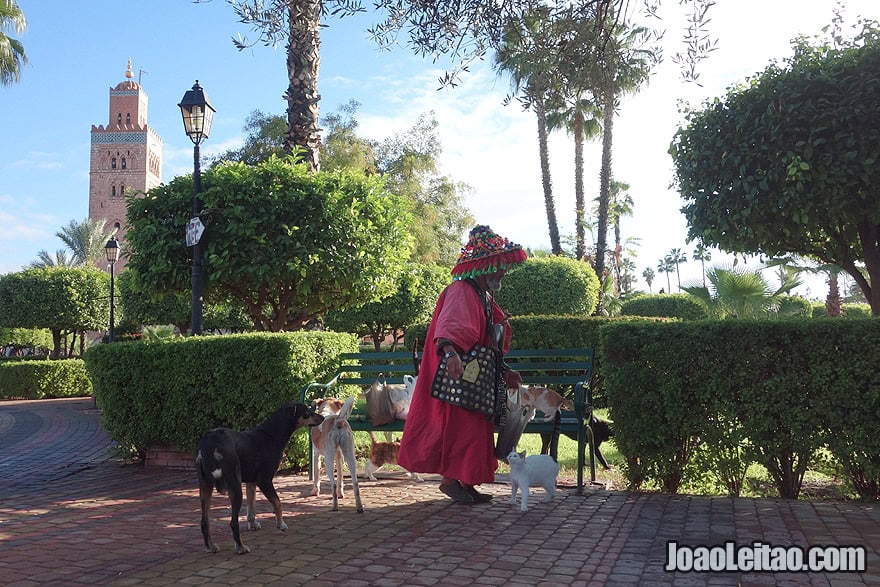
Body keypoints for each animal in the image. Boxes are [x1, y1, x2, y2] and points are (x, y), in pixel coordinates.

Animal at [194, 402, 324, 552]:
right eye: (307, 412)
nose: (323, 418)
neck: (272, 433)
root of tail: (210, 443)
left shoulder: (251, 482)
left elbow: (252, 507)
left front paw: (253, 524)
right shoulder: (265, 480)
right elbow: (277, 502)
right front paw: (281, 524)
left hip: (205, 487)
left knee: (204, 521)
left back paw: (210, 546)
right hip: (235, 487)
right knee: (233, 522)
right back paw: (240, 547)